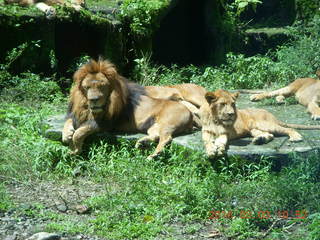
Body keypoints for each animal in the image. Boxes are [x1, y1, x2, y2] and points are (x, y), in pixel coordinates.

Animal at [61, 58, 194, 159]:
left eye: (102, 86)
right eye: (86, 87)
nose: (94, 99)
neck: (88, 109)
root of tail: (189, 112)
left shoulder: (105, 123)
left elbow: (79, 132)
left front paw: (75, 150)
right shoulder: (76, 114)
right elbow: (68, 122)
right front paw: (66, 135)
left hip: (168, 123)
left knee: (166, 138)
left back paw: (154, 155)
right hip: (154, 125)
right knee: (156, 136)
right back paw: (142, 143)